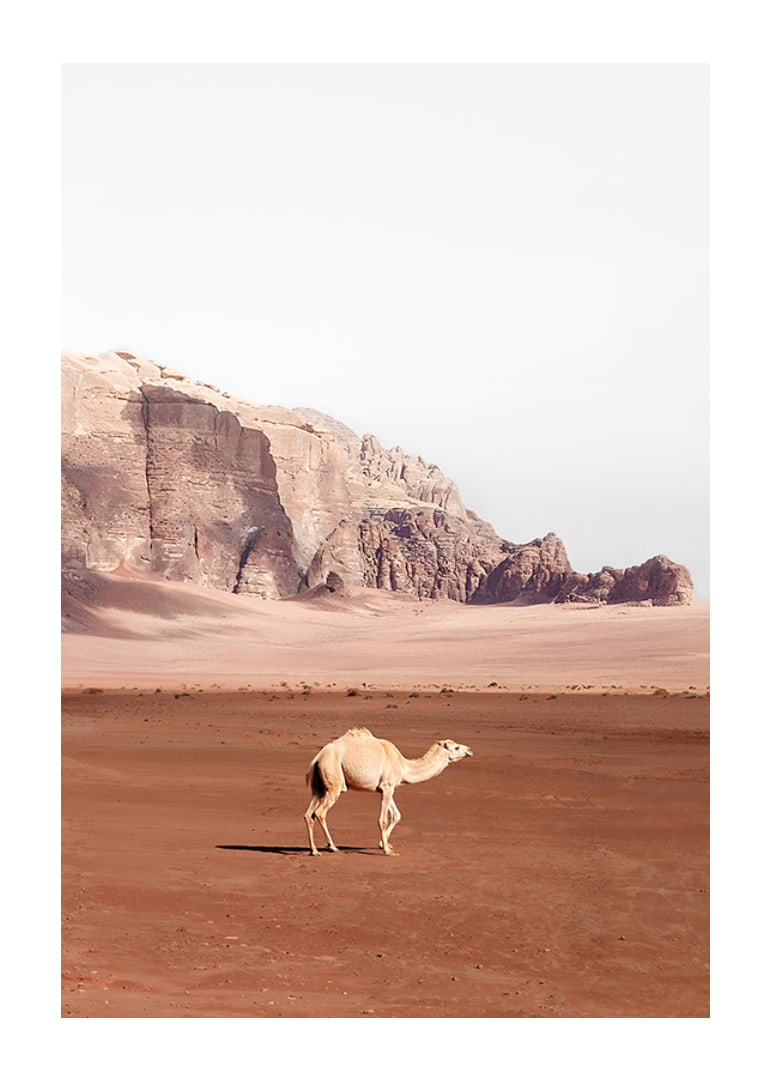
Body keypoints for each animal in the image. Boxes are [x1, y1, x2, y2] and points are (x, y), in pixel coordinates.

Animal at [303, 727, 473, 856]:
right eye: (456, 747)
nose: (470, 750)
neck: (403, 765)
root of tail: (318, 757)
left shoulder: (387, 788)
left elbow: (397, 815)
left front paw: (383, 844)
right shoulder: (387, 786)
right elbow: (383, 819)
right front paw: (387, 850)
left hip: (319, 788)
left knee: (308, 814)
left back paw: (314, 850)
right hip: (334, 784)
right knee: (320, 812)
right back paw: (332, 846)